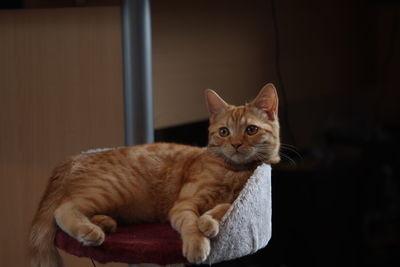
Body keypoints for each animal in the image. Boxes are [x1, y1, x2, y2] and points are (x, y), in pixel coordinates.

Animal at [29, 83, 280, 266]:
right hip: (112, 190)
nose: (236, 144)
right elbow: (191, 223)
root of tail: (72, 159)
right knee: (63, 210)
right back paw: (90, 231)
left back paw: (104, 223)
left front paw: (208, 222)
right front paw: (197, 244)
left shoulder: (237, 200)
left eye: (251, 130)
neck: (233, 171)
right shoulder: (183, 205)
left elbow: (224, 207)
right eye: (224, 132)